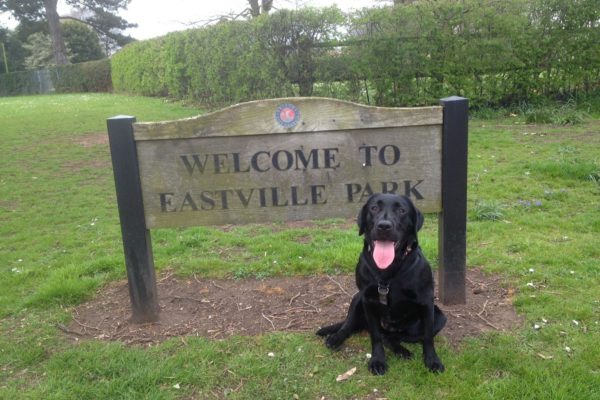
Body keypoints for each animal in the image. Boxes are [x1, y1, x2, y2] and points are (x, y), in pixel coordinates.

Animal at [318, 194, 446, 376]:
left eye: (402, 210)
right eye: (374, 208)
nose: (384, 226)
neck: (388, 272)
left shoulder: (426, 301)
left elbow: (428, 337)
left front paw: (432, 361)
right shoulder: (368, 301)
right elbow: (376, 336)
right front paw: (377, 361)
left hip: (439, 318)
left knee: (393, 337)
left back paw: (401, 350)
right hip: (357, 299)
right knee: (351, 325)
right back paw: (336, 338)